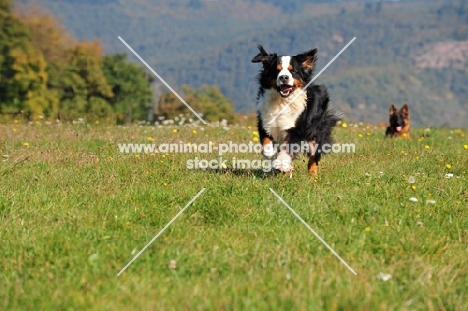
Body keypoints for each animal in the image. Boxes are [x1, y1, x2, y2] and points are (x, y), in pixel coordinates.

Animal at [252, 44, 340, 176]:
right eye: (276, 70)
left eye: (292, 70)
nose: (284, 77)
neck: (282, 101)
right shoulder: (265, 121)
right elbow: (266, 142)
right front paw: (271, 154)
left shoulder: (297, 128)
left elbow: (288, 146)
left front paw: (281, 163)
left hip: (314, 132)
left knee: (313, 156)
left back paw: (312, 176)